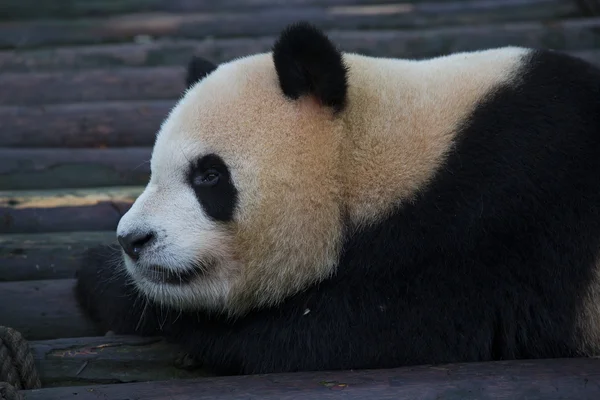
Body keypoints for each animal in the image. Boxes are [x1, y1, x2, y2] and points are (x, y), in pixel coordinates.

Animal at [76, 21, 600, 376]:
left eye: (208, 175)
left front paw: (105, 284)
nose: (133, 241)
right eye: (151, 170)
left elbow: (343, 334)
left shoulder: (494, 213)